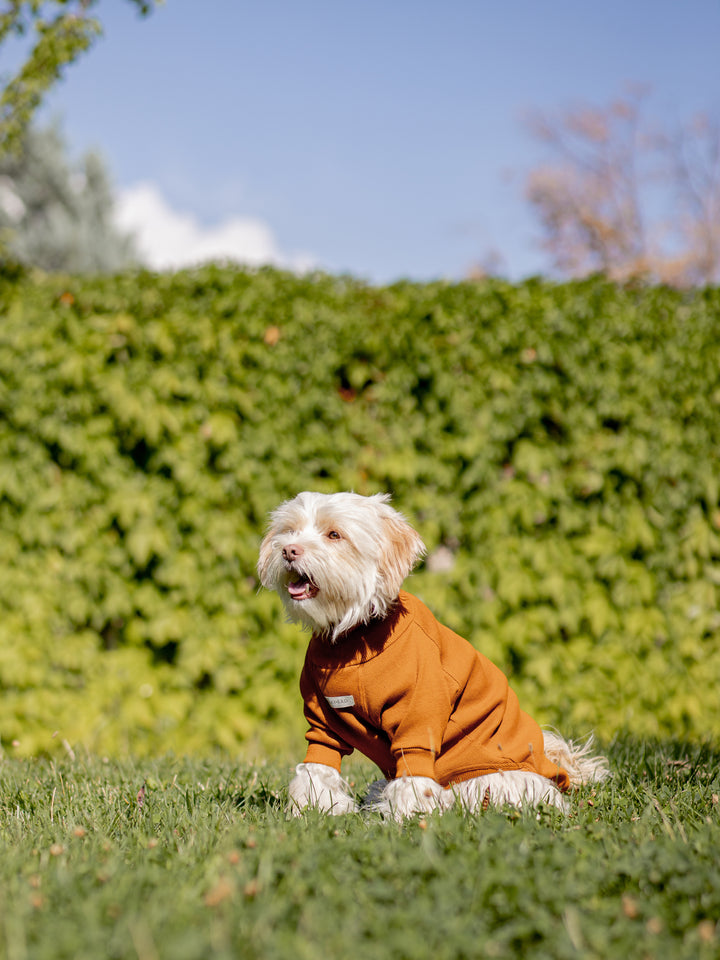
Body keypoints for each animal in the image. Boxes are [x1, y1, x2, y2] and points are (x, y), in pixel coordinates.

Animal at [258, 496, 608, 816]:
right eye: (289, 531)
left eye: (334, 534)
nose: (289, 550)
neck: (354, 637)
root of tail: (555, 769)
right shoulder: (322, 719)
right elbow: (319, 764)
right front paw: (314, 809)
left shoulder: (418, 713)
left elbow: (414, 774)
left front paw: (404, 817)